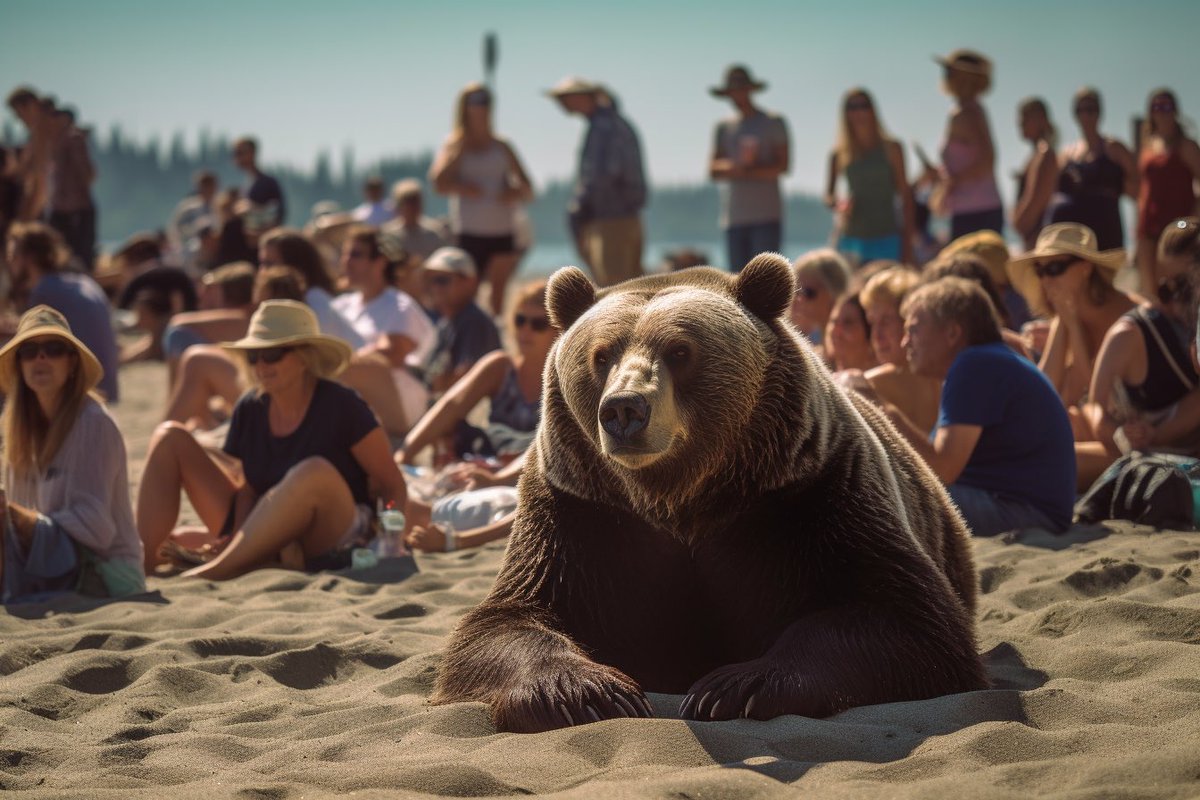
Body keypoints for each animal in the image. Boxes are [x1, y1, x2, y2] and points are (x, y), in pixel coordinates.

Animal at [432, 253, 988, 733]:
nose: (624, 410)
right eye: (601, 355)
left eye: (680, 352)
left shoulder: (815, 494)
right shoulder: (580, 513)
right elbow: (505, 620)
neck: (678, 497)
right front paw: (588, 692)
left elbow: (907, 617)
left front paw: (733, 687)